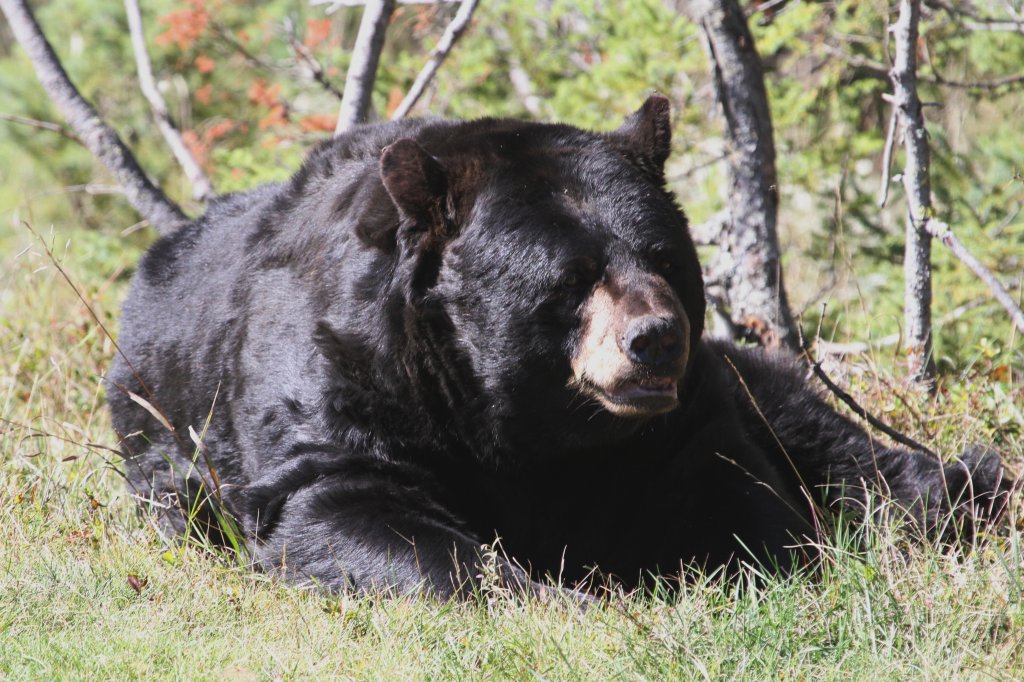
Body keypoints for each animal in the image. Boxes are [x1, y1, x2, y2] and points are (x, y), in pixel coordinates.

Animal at [110, 94, 1007, 593]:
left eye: (663, 259)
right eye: (572, 277)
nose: (657, 340)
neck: (526, 418)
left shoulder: (674, 423)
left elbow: (737, 490)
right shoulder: (344, 383)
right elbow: (348, 506)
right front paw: (546, 591)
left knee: (829, 438)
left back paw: (960, 490)